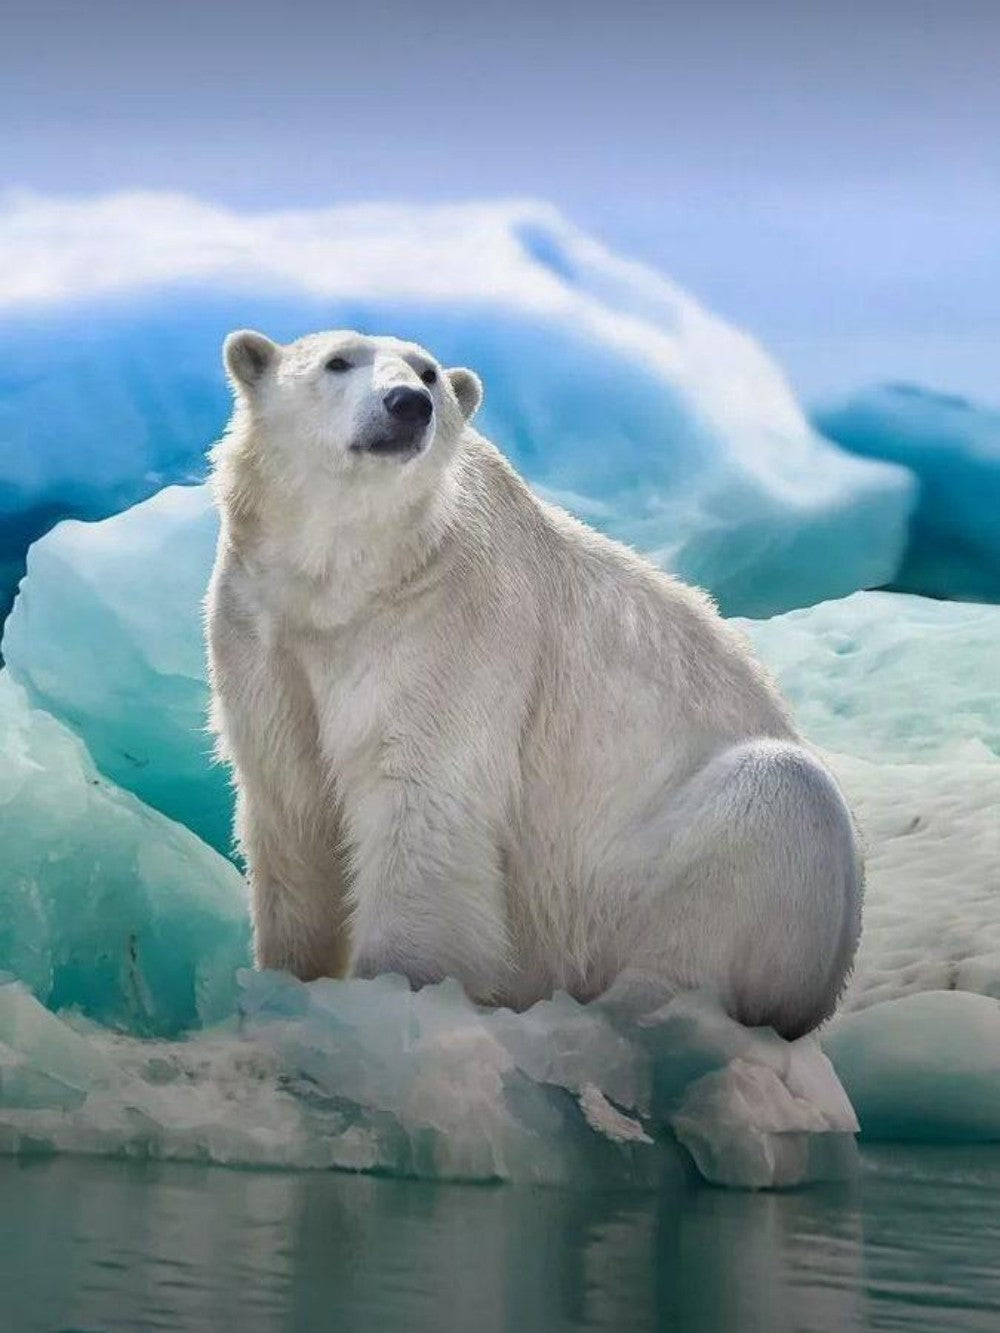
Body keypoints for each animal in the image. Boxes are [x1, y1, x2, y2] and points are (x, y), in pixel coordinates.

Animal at [206, 327, 863, 1038]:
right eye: (337, 362)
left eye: (429, 373)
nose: (408, 405)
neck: (354, 580)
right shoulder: (264, 629)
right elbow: (292, 801)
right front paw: (288, 980)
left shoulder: (448, 628)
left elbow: (422, 803)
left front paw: (394, 990)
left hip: (656, 879)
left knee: (770, 806)